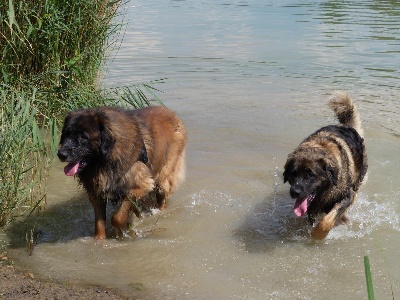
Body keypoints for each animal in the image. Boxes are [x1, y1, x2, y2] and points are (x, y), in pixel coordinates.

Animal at [57, 106, 187, 240]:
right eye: (67, 134)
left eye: (83, 137)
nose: (61, 154)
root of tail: (172, 113)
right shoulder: (97, 193)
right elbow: (99, 224)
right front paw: (99, 240)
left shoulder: (141, 185)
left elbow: (117, 217)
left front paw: (122, 227)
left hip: (164, 178)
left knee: (162, 198)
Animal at [282, 91, 368, 239]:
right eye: (293, 174)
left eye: (310, 174)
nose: (295, 192)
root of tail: (347, 127)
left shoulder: (347, 196)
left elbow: (326, 221)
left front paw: (318, 235)